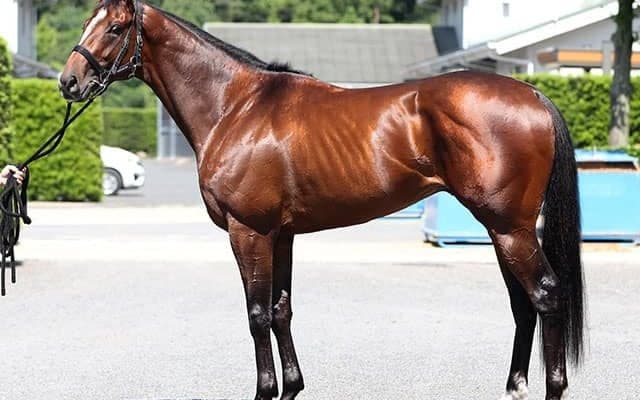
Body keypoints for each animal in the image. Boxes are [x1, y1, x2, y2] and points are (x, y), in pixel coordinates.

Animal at [58, 1, 585, 399]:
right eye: (86, 21)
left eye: (116, 27)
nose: (69, 82)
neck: (235, 106)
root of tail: (535, 95)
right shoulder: (281, 235)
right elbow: (281, 311)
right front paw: (291, 387)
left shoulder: (248, 231)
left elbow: (256, 315)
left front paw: (265, 391)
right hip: (502, 229)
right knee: (523, 303)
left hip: (510, 229)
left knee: (545, 295)